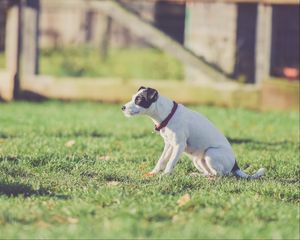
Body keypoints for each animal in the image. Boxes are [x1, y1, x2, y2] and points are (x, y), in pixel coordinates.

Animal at [122, 87, 264, 179]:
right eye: (132, 98)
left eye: (139, 99)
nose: (122, 107)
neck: (168, 114)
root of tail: (235, 165)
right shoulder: (169, 145)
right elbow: (161, 160)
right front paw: (153, 173)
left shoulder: (179, 145)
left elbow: (170, 162)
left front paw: (165, 175)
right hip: (198, 160)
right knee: (210, 173)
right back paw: (197, 175)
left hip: (210, 153)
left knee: (220, 175)